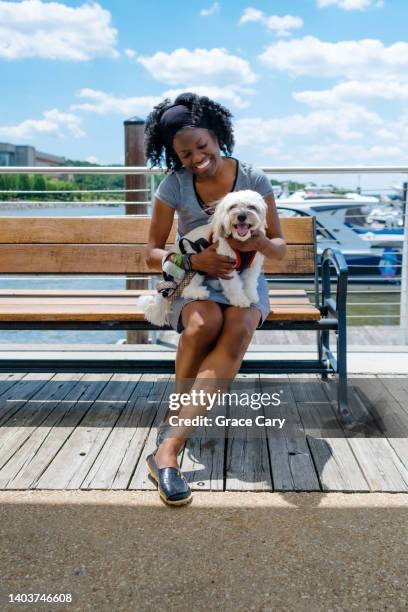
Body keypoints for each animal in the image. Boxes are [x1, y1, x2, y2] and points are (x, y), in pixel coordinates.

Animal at [139, 190, 268, 326]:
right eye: (232, 207)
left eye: (252, 207)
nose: (241, 216)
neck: (240, 242)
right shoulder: (226, 267)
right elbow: (234, 286)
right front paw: (240, 300)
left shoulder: (252, 266)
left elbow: (250, 282)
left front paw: (251, 295)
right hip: (193, 265)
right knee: (185, 289)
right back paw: (199, 293)